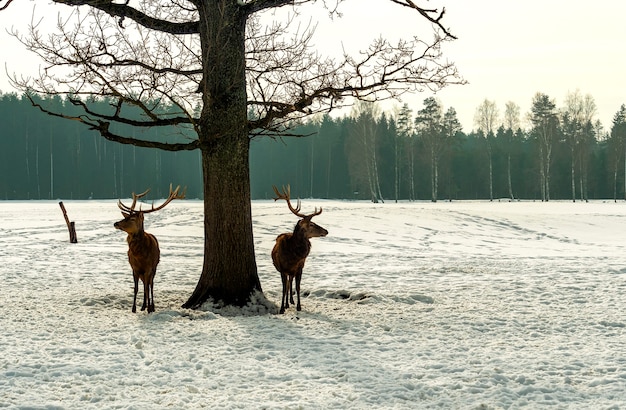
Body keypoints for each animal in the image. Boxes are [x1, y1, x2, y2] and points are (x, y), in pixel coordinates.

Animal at [114, 184, 184, 312]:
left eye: (132, 219)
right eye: (126, 217)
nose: (116, 223)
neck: (140, 255)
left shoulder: (148, 267)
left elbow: (148, 286)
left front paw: (150, 307)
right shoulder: (134, 268)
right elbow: (136, 288)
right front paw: (134, 308)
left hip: (154, 267)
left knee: (150, 284)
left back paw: (150, 305)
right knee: (144, 284)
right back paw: (144, 305)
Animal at [270, 185, 326, 314]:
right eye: (311, 224)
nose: (326, 231)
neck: (293, 256)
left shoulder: (299, 267)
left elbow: (298, 287)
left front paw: (299, 306)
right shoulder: (282, 269)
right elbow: (284, 288)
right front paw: (281, 308)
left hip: (293, 272)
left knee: (290, 283)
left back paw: (290, 301)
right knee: (288, 285)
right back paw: (286, 303)